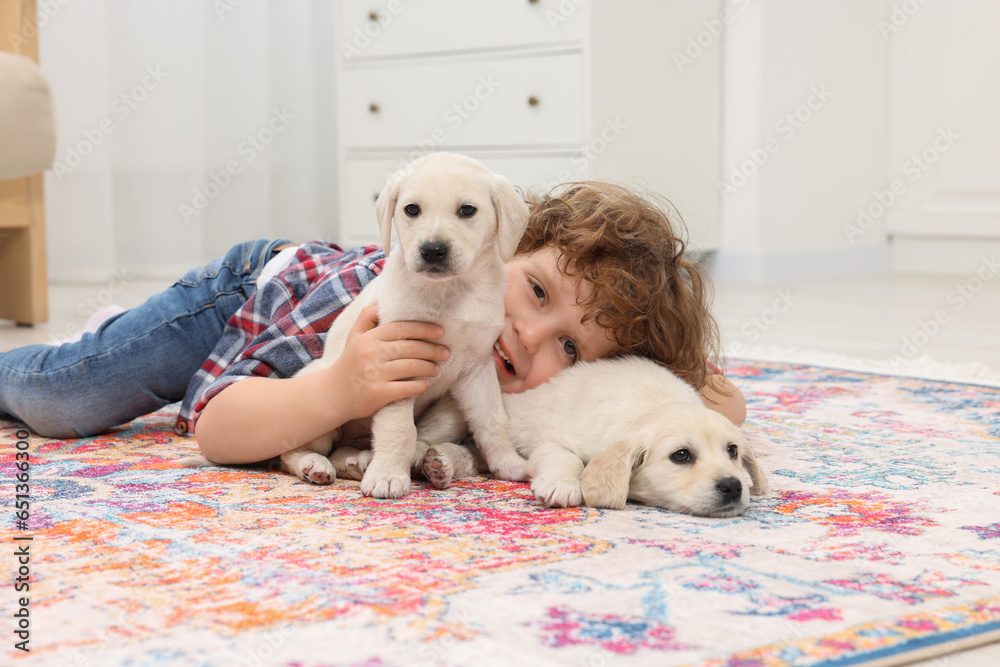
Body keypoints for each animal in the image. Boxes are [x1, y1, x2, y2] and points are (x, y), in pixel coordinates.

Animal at [280, 153, 532, 496]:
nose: (432, 250)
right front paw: (388, 475)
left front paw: (508, 463)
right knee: (292, 451)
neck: (450, 293)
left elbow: (493, 420)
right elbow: (398, 427)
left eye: (467, 210)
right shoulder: (397, 365)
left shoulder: (477, 369)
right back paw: (315, 465)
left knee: (360, 448)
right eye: (412, 209)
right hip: (322, 397)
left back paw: (381, 460)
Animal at [340, 358, 768, 520]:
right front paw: (563, 486)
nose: (733, 487)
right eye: (681, 456)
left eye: (732, 452)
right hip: (456, 411)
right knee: (425, 435)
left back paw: (440, 465)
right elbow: (570, 460)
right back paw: (379, 461)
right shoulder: (552, 442)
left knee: (475, 455)